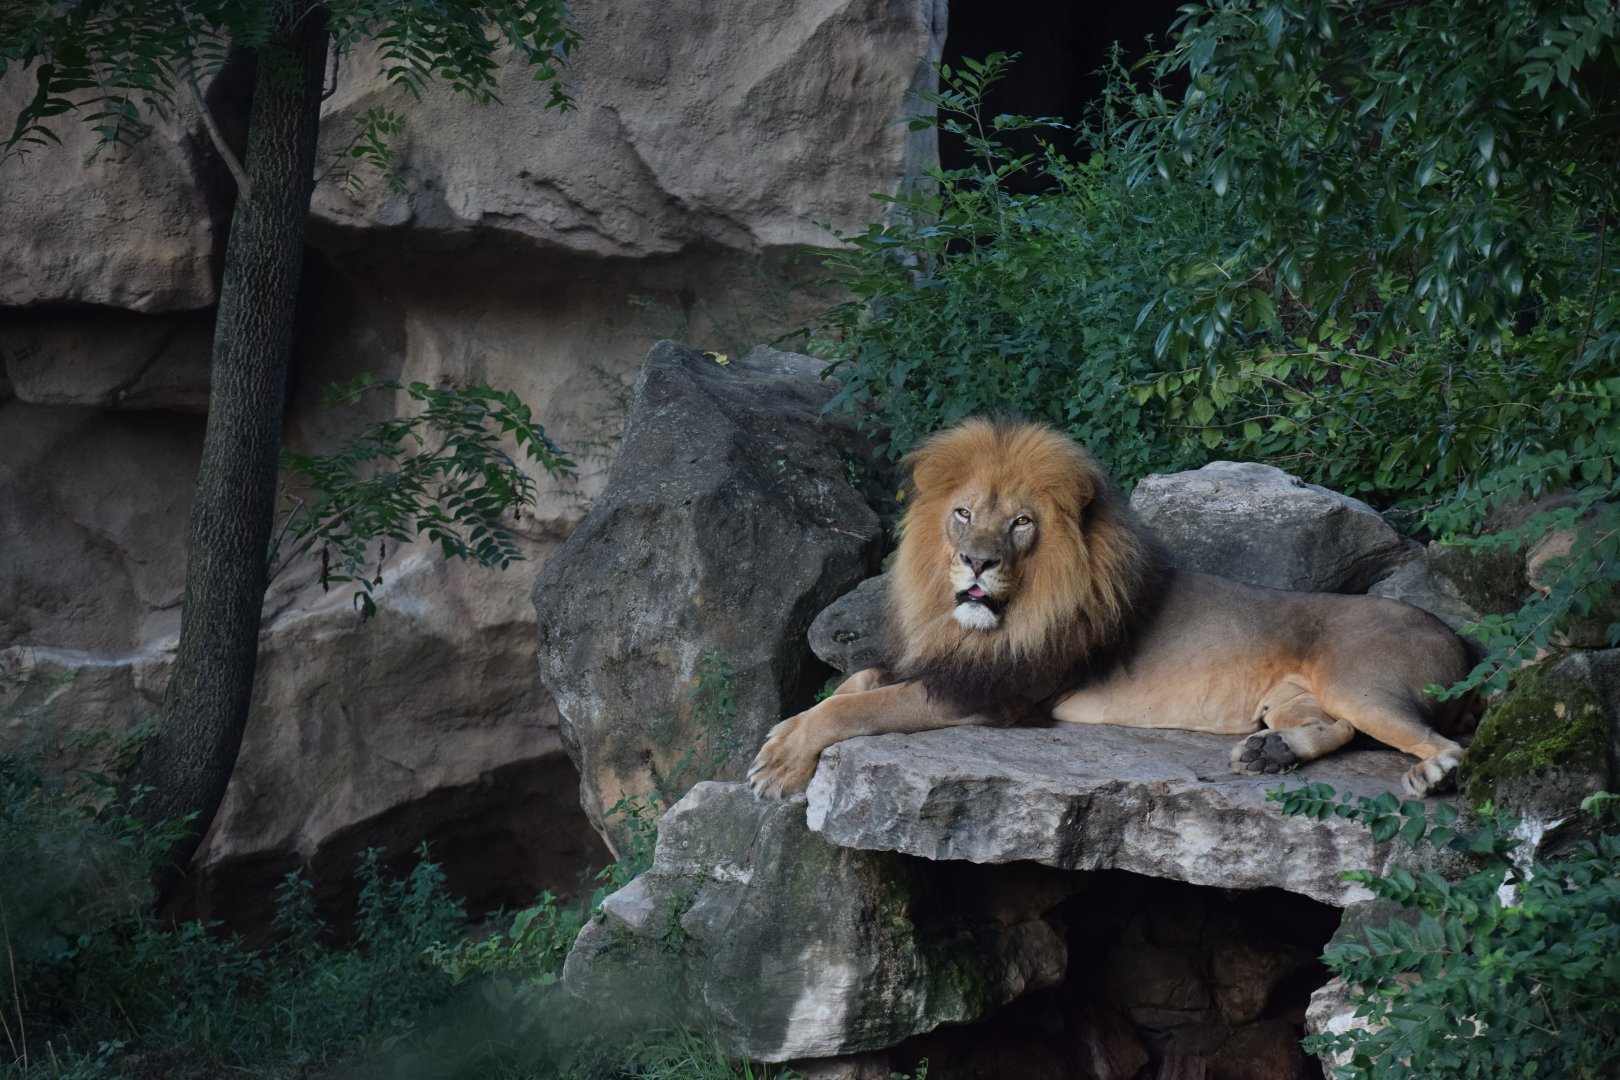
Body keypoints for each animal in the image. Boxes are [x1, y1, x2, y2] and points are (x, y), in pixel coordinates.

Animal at [747, 418, 1479, 800]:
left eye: (1020, 523)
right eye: (962, 514)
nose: (976, 562)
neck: (999, 619)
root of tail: (1460, 642)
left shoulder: (994, 693)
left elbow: (859, 705)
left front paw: (781, 760)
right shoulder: (947, 662)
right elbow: (861, 679)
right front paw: (784, 732)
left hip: (1362, 682)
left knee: (1443, 744)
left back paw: (1430, 772)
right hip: (1289, 698)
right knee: (1336, 728)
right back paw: (1268, 755)